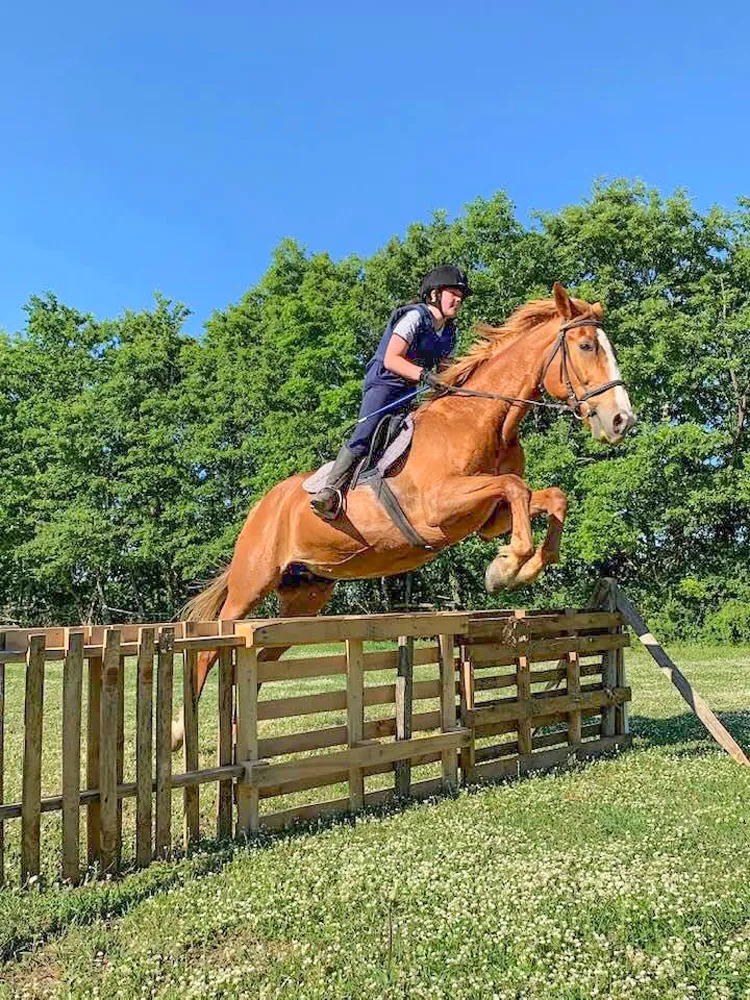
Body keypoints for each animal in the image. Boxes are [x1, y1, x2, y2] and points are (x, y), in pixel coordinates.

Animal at [171, 283, 634, 749]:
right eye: (586, 345)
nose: (622, 420)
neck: (483, 419)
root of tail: (261, 506)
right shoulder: (438, 507)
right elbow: (514, 487)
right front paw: (504, 568)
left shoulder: (490, 520)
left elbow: (551, 497)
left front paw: (522, 566)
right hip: (252, 582)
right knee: (210, 646)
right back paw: (178, 733)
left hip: (303, 598)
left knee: (262, 656)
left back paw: (235, 726)